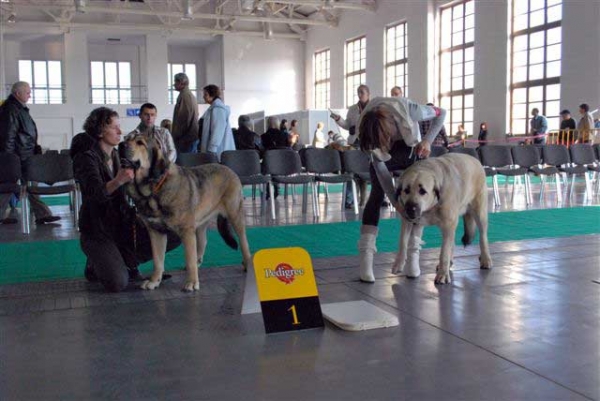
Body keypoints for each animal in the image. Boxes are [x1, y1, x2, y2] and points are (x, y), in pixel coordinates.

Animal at [394, 152, 492, 282]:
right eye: (406, 190)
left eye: (422, 191)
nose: (411, 209)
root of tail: (475, 160)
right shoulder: (407, 221)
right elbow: (402, 242)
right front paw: (398, 264)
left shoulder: (448, 224)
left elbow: (444, 251)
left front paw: (443, 274)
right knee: (452, 241)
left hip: (479, 212)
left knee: (483, 237)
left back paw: (486, 259)